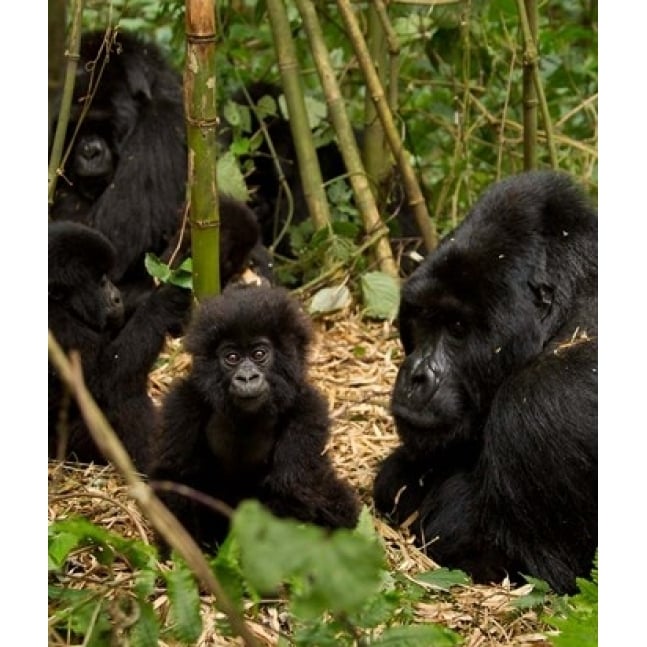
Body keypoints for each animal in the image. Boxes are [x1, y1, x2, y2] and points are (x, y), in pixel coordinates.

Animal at [48, 221, 191, 470]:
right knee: (120, 398)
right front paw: (165, 301)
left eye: (106, 277)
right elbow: (104, 384)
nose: (117, 297)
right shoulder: (60, 329)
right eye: (101, 282)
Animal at [148, 286, 360, 556]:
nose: (247, 377)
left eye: (259, 354)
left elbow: (291, 489)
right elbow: (175, 476)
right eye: (232, 357)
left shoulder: (308, 411)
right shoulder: (183, 403)